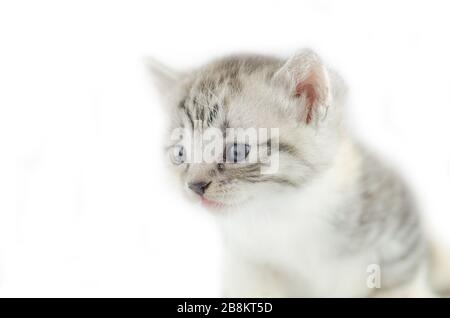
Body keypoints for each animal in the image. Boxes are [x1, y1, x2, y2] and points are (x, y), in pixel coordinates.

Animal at [148, 49, 442, 296]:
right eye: (180, 154)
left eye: (237, 151)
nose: (194, 186)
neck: (284, 211)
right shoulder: (248, 265)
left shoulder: (400, 232)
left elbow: (399, 284)